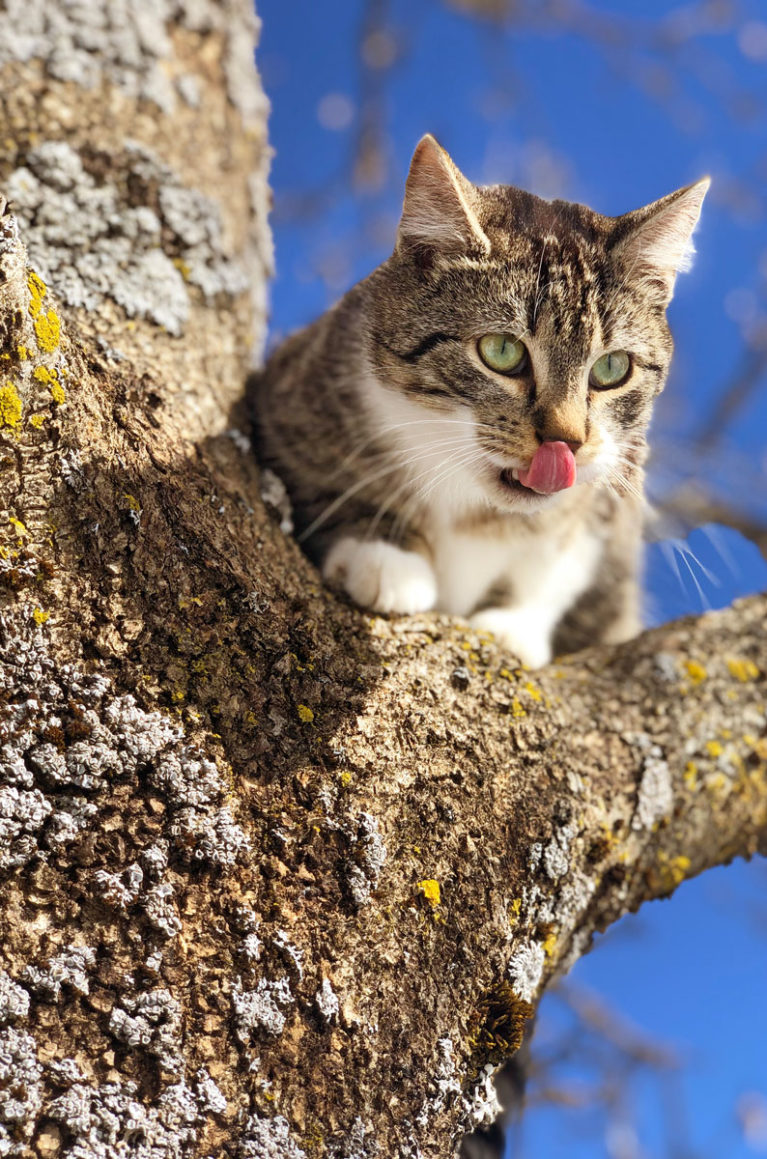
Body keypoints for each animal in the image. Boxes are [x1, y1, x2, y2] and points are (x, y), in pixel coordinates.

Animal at [254, 133, 713, 672]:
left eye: (612, 368)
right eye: (502, 352)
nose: (566, 441)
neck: (476, 505)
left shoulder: (611, 498)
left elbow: (566, 554)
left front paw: (517, 623)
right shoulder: (298, 392)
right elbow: (329, 477)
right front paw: (386, 557)